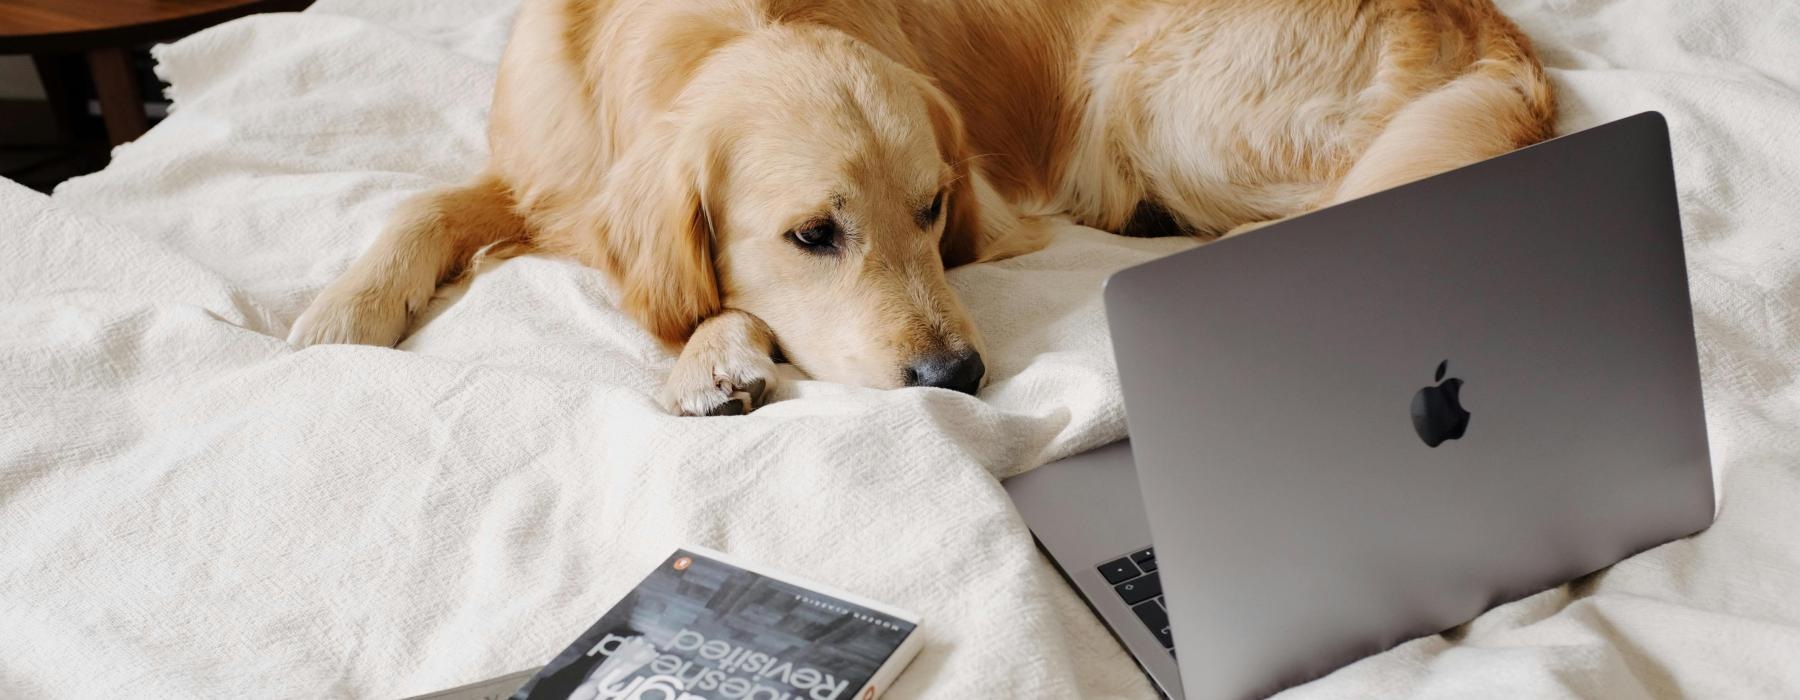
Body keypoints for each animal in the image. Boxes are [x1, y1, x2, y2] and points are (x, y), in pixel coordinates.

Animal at [288, 0, 1555, 413]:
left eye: (936, 212)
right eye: (814, 233)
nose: (959, 377)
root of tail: (1491, 27)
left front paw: (714, 352)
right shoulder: (548, 174)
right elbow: (422, 205)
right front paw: (341, 310)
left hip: (1157, 97)